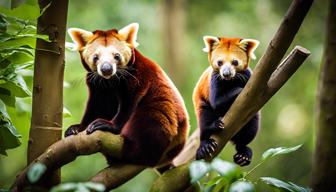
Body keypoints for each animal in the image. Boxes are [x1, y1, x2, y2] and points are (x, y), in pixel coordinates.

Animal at [193, 36, 262, 166]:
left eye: (235, 62)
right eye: (220, 62)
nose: (226, 73)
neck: (231, 81)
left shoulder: (248, 75)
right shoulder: (214, 79)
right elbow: (217, 102)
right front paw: (240, 90)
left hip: (251, 122)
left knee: (250, 129)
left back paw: (244, 154)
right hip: (202, 106)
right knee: (204, 122)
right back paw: (206, 143)